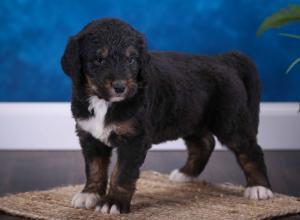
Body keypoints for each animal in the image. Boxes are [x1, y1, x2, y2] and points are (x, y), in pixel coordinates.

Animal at [62, 18, 274, 214]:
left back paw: (259, 188)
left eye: (131, 59)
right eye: (99, 60)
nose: (120, 87)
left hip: (230, 121)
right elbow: (95, 168)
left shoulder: (134, 139)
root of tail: (224, 59)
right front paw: (89, 194)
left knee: (250, 150)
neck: (103, 102)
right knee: (204, 143)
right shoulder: (90, 135)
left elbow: (121, 173)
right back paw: (184, 175)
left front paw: (113, 202)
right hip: (190, 117)